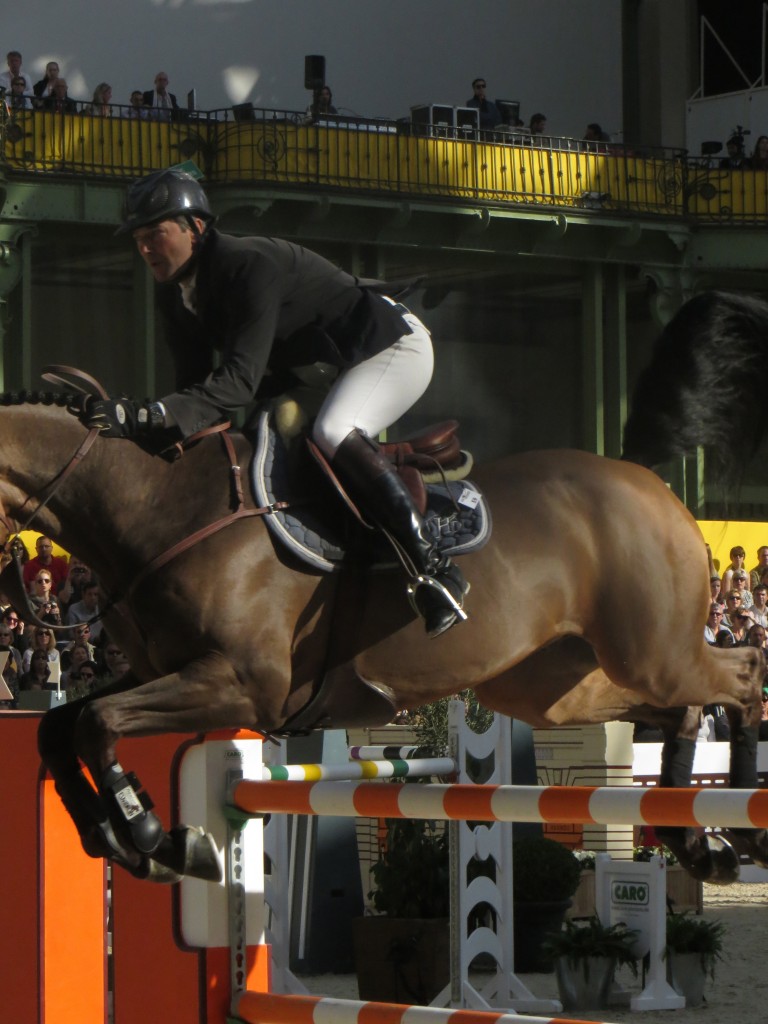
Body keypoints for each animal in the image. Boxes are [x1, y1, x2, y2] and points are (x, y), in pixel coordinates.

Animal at [0, 290, 765, 880]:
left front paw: (157, 838)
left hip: (653, 652)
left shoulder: (239, 684)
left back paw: (738, 825)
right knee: (681, 711)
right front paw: (133, 841)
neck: (160, 509)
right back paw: (695, 842)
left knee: (745, 672)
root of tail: (638, 473)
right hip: (550, 685)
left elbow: (95, 723)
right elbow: (62, 726)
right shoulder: (163, 672)